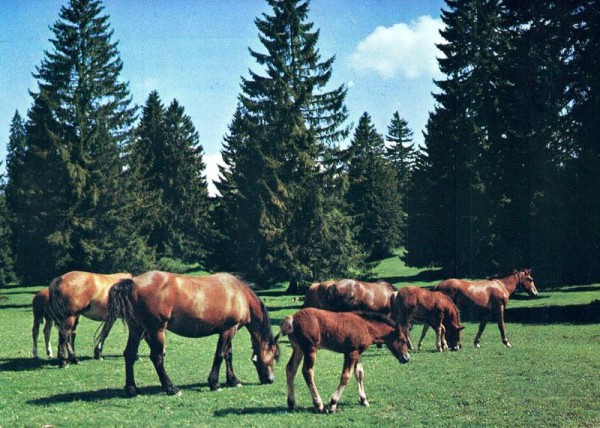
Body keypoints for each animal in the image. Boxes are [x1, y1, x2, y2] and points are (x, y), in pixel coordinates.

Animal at [101, 272, 282, 396]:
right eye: (273, 355)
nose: (270, 379)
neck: (239, 294)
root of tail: (134, 282)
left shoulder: (229, 329)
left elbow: (228, 355)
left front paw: (233, 380)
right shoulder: (228, 330)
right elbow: (220, 355)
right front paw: (214, 383)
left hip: (137, 329)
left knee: (130, 354)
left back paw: (132, 389)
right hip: (157, 330)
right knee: (156, 357)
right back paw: (171, 388)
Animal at [278, 306, 410, 412]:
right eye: (402, 340)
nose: (407, 358)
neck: (366, 326)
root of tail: (292, 319)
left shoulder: (358, 353)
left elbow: (359, 374)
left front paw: (364, 400)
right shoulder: (351, 353)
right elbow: (346, 376)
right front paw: (332, 404)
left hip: (298, 349)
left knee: (290, 369)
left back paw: (292, 404)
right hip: (310, 349)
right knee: (307, 372)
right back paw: (319, 404)